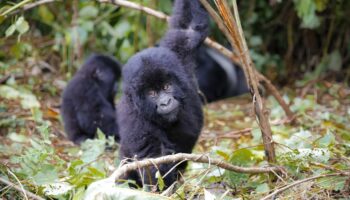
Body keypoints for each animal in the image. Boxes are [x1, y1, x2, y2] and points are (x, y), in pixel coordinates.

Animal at [117, 0, 208, 189]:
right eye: (151, 93)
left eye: (166, 86)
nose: (165, 102)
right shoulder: (134, 117)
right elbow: (155, 159)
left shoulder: (178, 56)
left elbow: (188, 29)